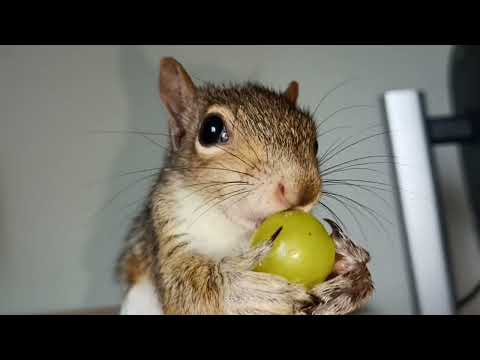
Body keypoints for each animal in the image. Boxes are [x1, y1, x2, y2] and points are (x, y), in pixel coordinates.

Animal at [116, 57, 376, 316]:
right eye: (210, 129)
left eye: (315, 143)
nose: (303, 191)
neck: (233, 230)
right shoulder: (166, 227)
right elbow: (185, 290)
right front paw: (239, 287)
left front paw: (351, 274)